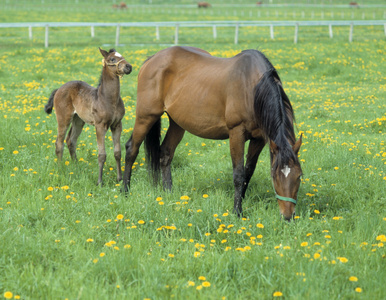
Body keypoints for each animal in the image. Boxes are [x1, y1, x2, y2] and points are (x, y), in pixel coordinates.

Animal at [44, 47, 133, 185]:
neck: (107, 99)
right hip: (63, 118)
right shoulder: (100, 126)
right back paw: (60, 169)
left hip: (78, 120)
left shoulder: (117, 125)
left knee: (71, 140)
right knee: (59, 142)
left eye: (122, 56)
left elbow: (117, 152)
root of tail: (59, 89)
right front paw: (100, 182)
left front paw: (119, 179)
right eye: (112, 59)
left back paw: (76, 166)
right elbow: (102, 155)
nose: (128, 67)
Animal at [122, 46, 304, 220]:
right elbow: (238, 174)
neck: (252, 88)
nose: (288, 216)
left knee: (166, 152)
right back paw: (125, 190)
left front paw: (241, 200)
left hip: (177, 123)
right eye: (274, 176)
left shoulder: (259, 139)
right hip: (146, 116)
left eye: (299, 176)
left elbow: (248, 172)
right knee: (132, 149)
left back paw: (168, 193)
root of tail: (151, 59)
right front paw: (237, 211)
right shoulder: (236, 133)